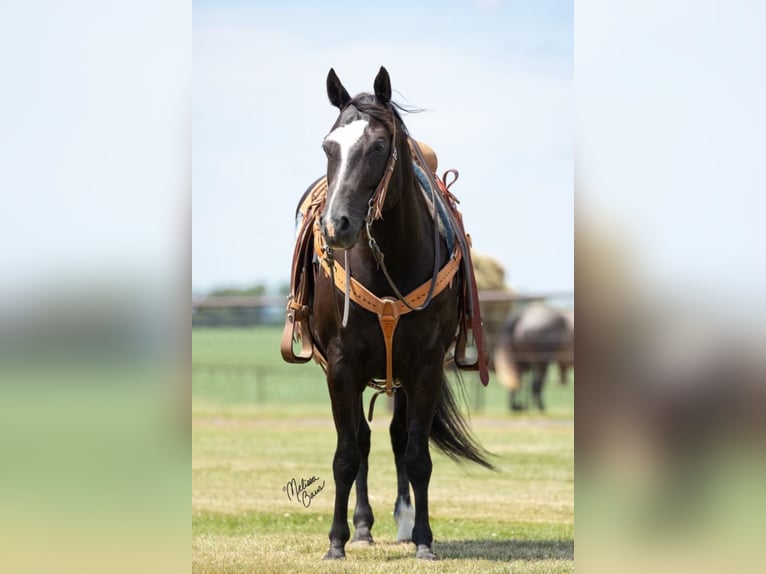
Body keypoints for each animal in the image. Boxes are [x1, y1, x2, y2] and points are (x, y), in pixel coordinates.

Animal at [284, 67, 496, 564]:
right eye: (329, 146)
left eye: (379, 146)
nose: (336, 226)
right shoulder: (340, 367)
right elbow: (347, 453)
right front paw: (337, 541)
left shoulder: (425, 367)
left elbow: (416, 454)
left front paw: (423, 539)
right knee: (362, 440)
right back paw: (362, 528)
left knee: (399, 436)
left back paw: (401, 524)